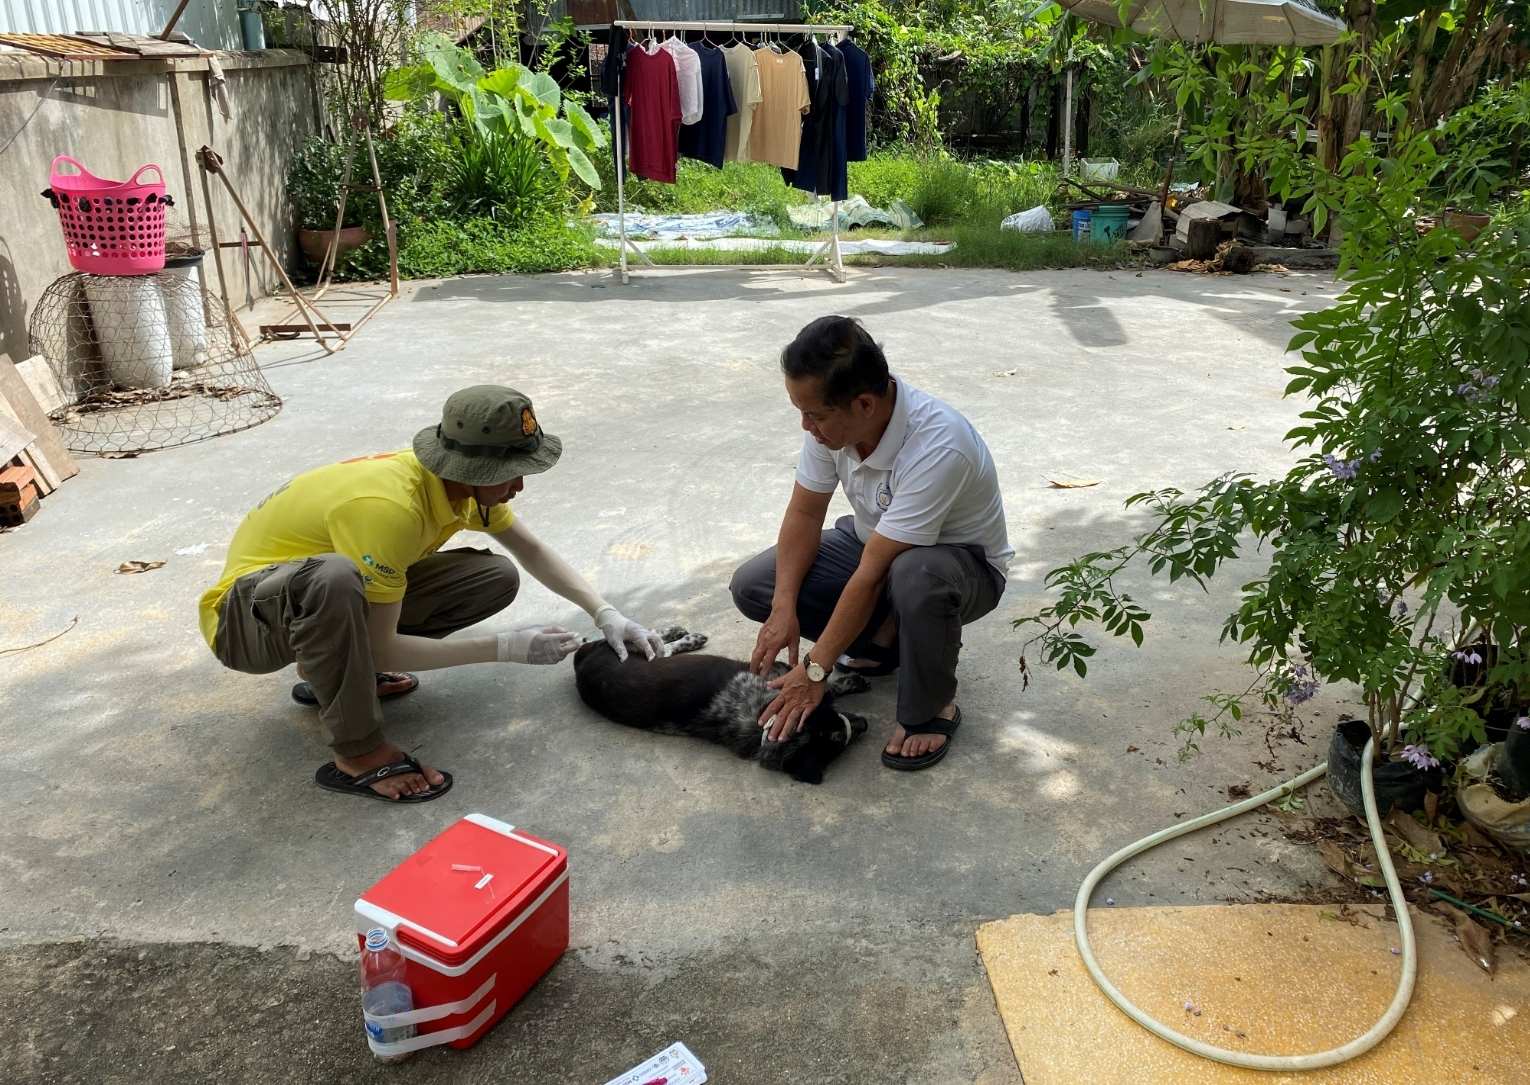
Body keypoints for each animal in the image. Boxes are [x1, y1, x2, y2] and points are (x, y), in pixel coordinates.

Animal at [575, 630, 869, 783]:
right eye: (838, 739)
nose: (865, 724)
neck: (761, 721)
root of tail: (580, 663)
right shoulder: (779, 676)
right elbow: (822, 688)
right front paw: (850, 682)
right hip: (634, 650)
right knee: (652, 637)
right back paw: (684, 635)